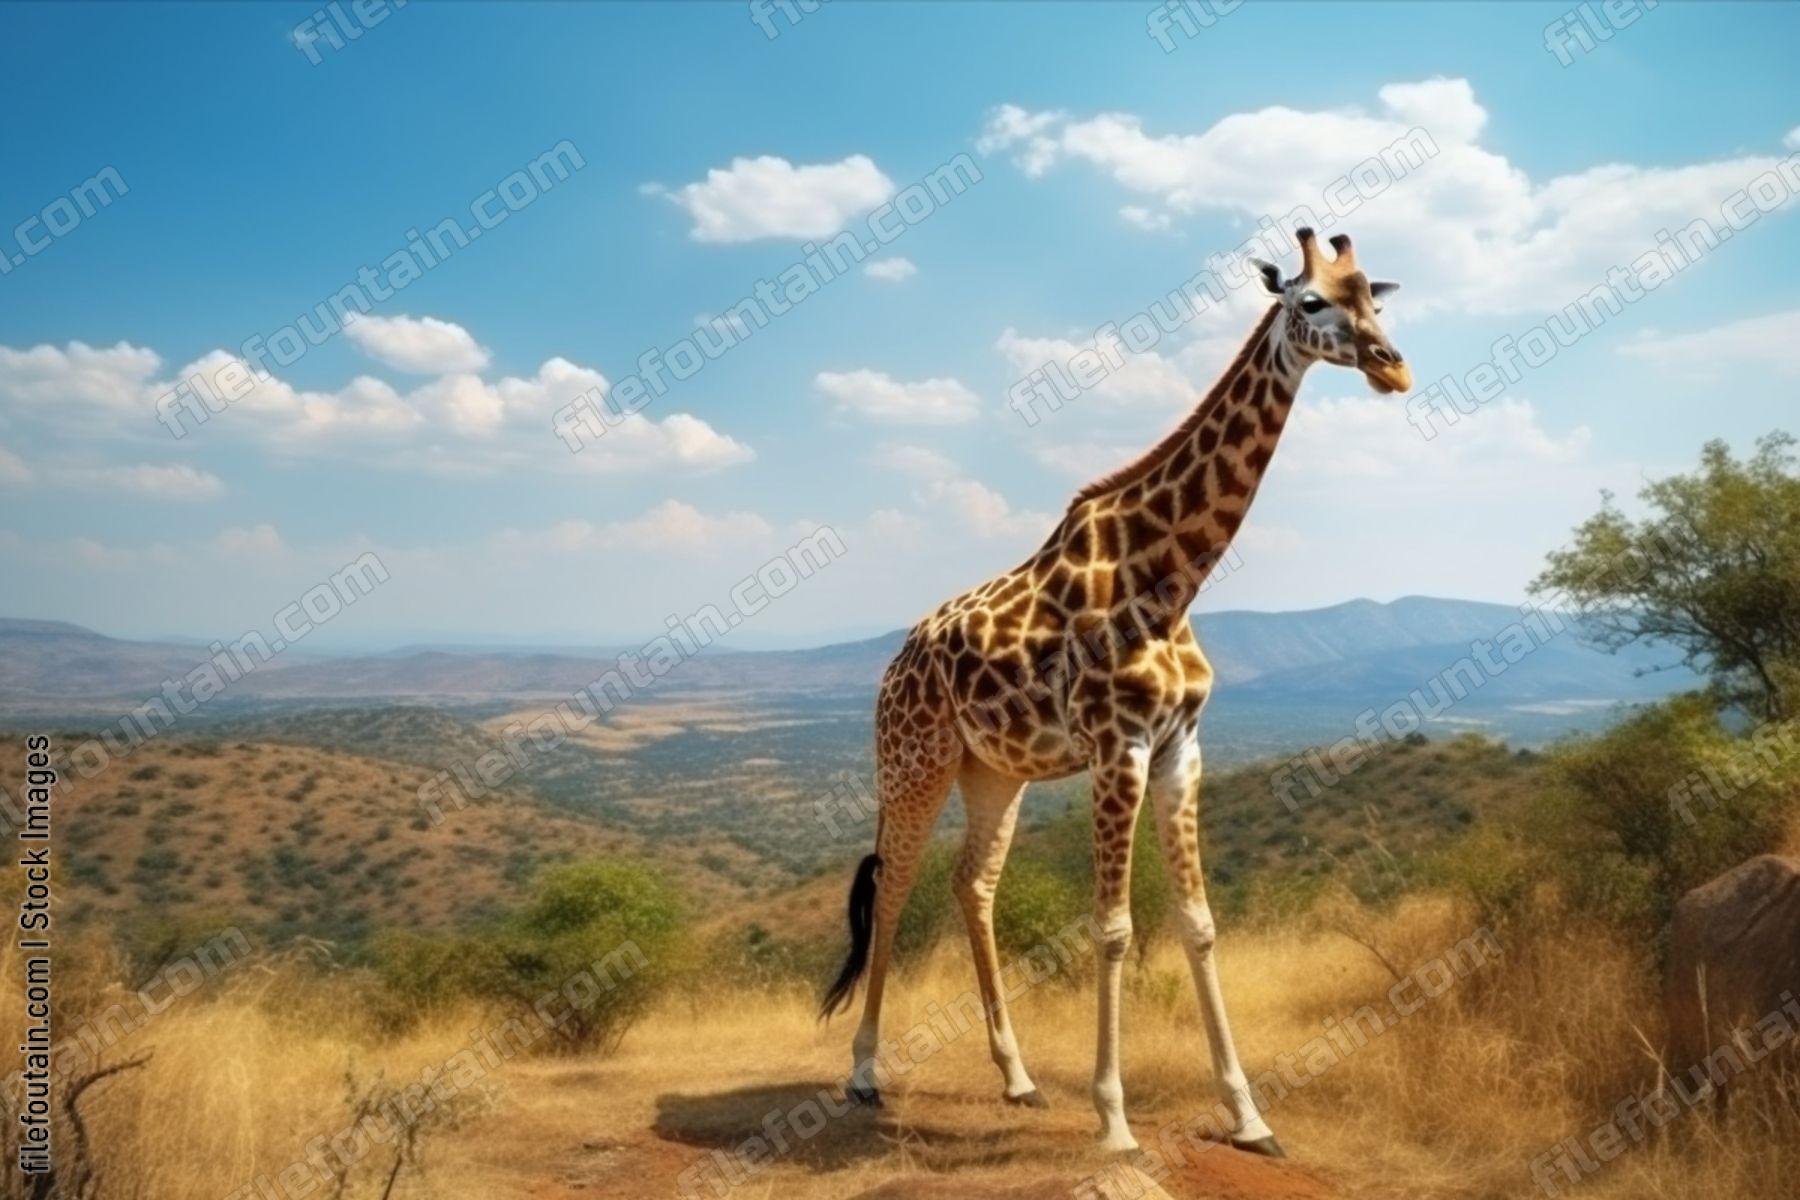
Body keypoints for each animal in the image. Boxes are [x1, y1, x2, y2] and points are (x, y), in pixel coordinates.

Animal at [820, 228, 1409, 1156]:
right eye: (1312, 301)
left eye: (1374, 300)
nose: (1393, 366)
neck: (1170, 581)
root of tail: (895, 663)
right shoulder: (1116, 748)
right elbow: (1114, 929)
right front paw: (1115, 1121)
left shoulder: (1179, 749)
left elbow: (1198, 925)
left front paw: (1250, 1118)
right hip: (912, 760)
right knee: (895, 888)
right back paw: (864, 1074)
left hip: (996, 772)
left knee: (972, 883)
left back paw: (1018, 1077)